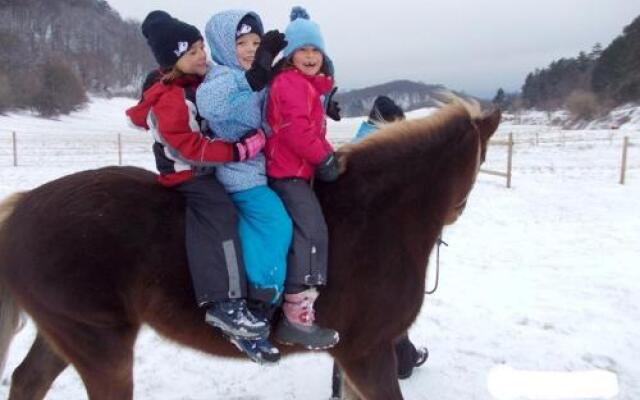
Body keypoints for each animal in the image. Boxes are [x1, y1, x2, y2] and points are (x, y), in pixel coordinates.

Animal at [0, 97, 500, 400]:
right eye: (483, 158)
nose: (456, 212)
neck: (378, 211)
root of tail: (22, 208)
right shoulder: (368, 352)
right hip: (101, 347)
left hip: (70, 333)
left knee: (26, 380)